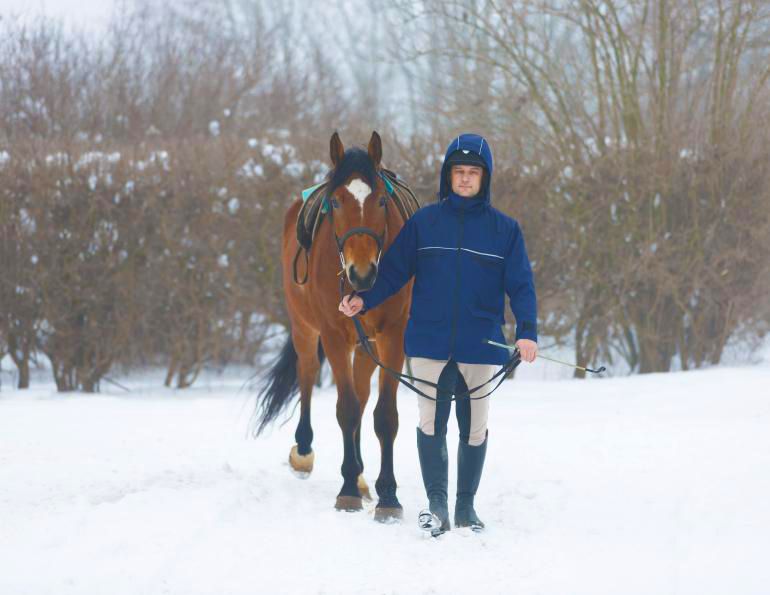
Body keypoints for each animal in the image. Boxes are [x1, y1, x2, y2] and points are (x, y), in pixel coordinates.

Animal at [253, 131, 413, 520]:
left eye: (381, 200)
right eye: (337, 202)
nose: (362, 272)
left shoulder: (393, 335)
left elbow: (384, 414)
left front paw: (388, 496)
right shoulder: (335, 336)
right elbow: (346, 409)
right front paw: (347, 490)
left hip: (367, 345)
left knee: (362, 392)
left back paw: (361, 477)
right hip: (304, 328)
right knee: (308, 373)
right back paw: (304, 452)